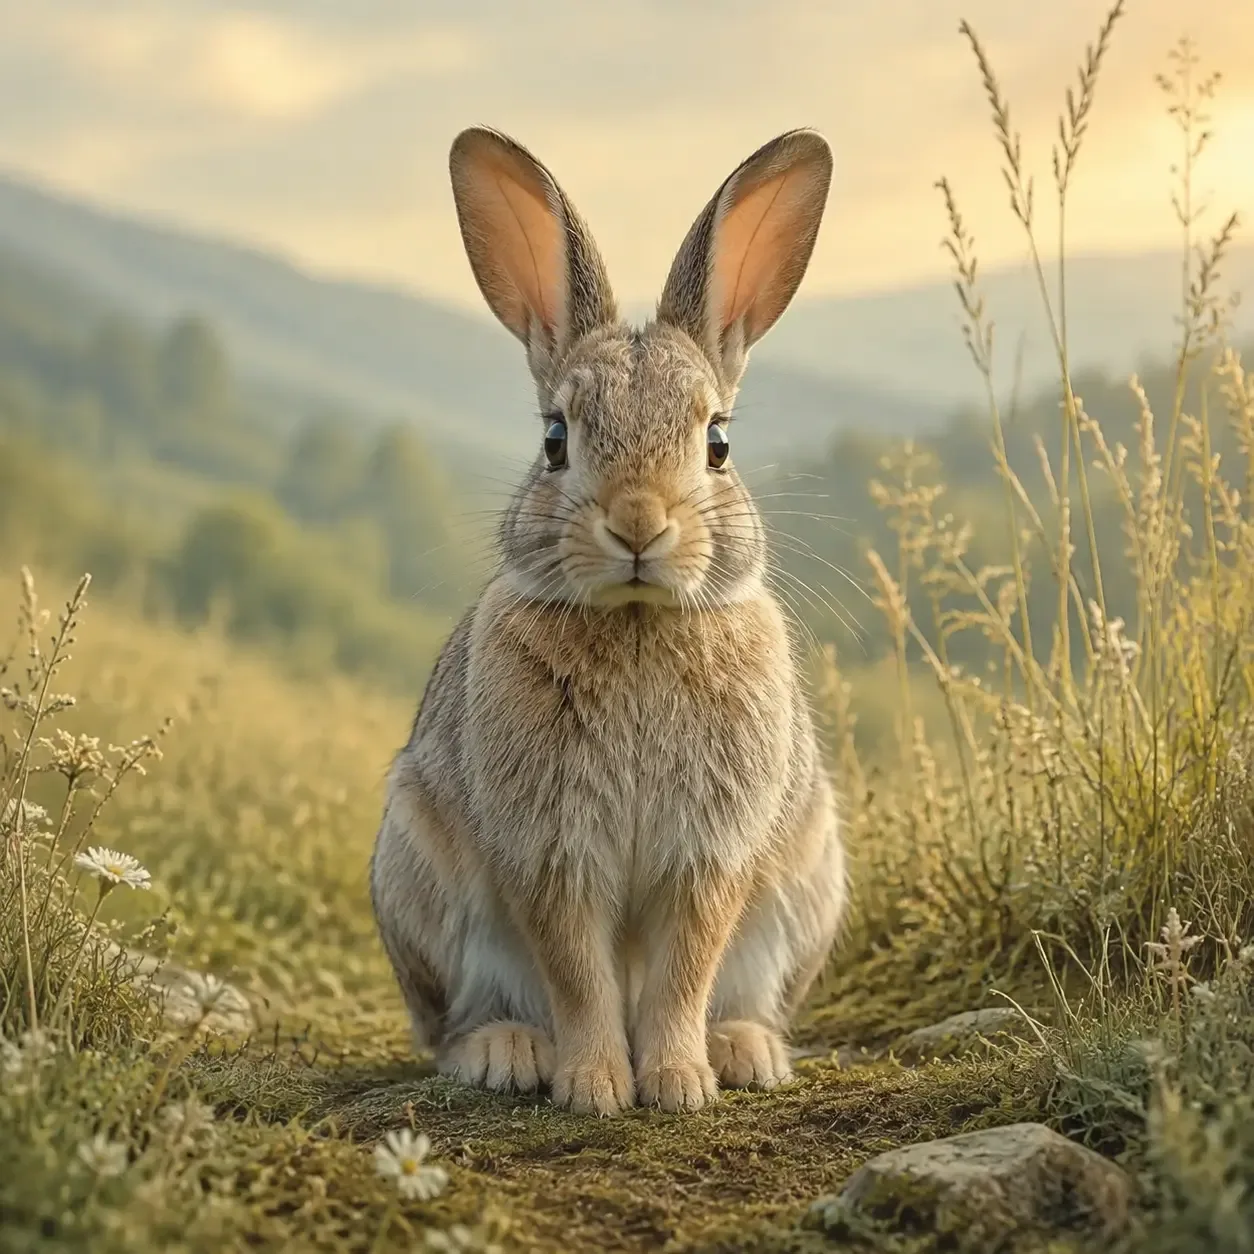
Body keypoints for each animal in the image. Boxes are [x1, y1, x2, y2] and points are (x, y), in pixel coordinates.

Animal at [370, 124, 845, 1115]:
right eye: (555, 439)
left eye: (718, 442)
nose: (637, 522)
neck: (635, 620)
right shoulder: (551, 852)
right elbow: (578, 972)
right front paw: (594, 1085)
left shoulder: (710, 854)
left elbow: (683, 969)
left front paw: (677, 1084)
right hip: (417, 882)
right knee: (448, 1028)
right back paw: (507, 1054)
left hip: (807, 882)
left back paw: (743, 1051)